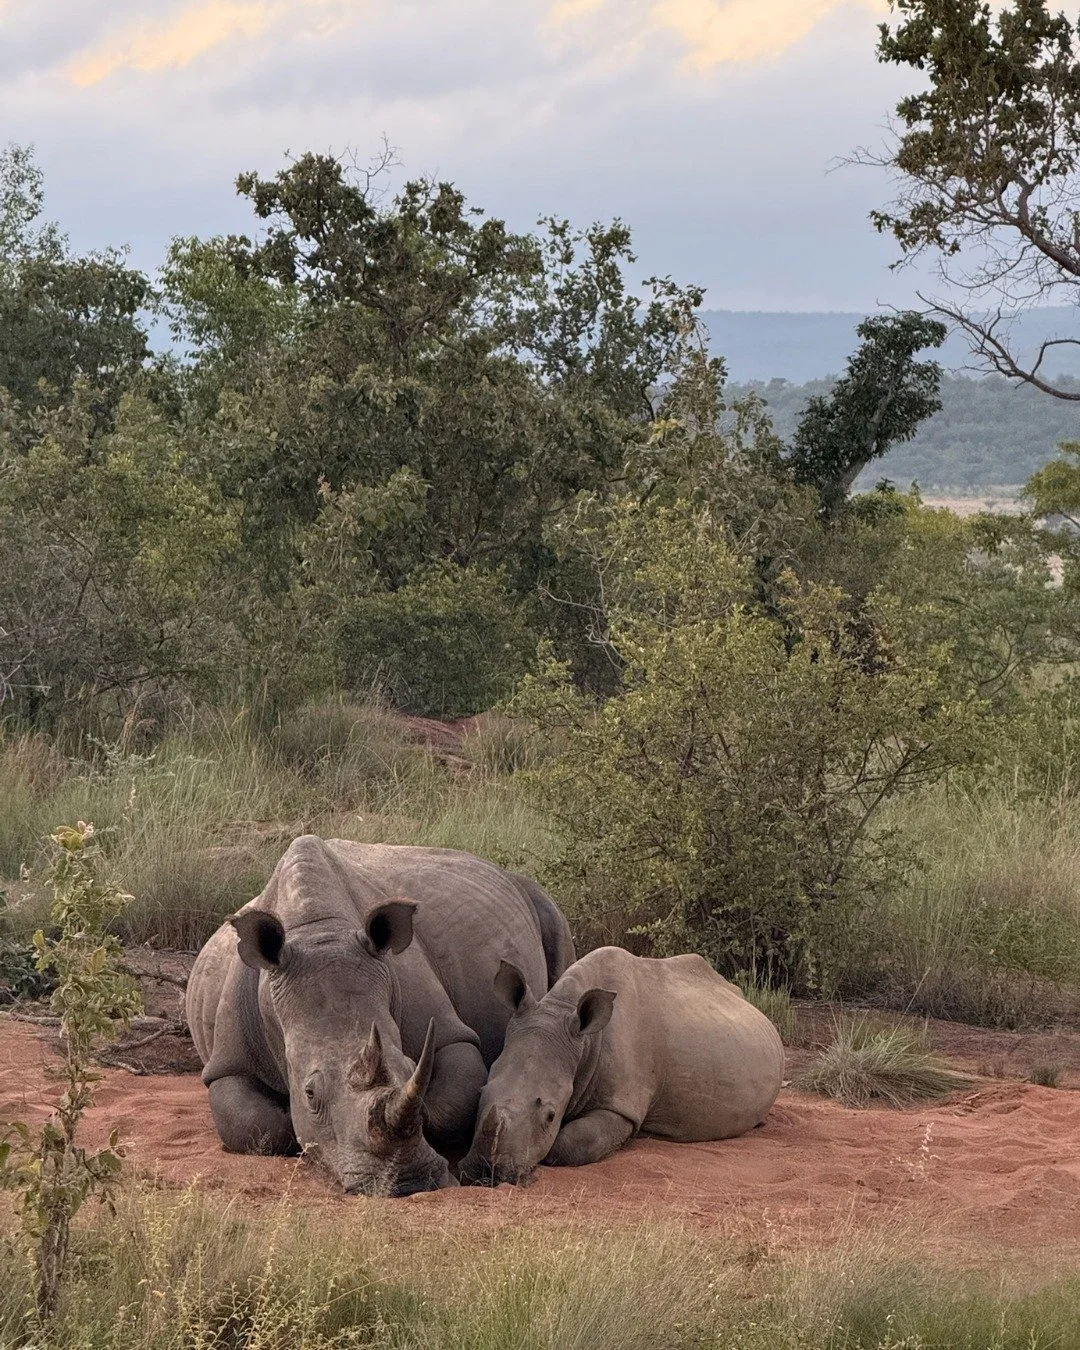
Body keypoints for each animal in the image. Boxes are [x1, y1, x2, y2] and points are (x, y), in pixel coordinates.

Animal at [186, 836, 574, 1196]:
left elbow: (453, 1100)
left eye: (409, 1063)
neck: (318, 930)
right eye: (309, 1093)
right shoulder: (230, 1061)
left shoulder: (450, 1031)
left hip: (540, 901)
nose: (407, 1183)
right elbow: (255, 1126)